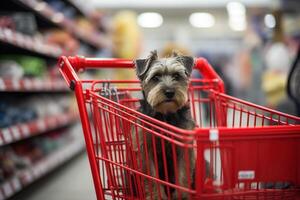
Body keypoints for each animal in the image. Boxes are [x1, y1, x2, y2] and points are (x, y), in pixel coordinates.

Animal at [133, 49, 196, 198]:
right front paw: (157, 197)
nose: (169, 92)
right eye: (155, 77)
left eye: (177, 76)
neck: (165, 114)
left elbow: (183, 176)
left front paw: (182, 196)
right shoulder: (146, 152)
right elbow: (152, 179)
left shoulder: (183, 150)